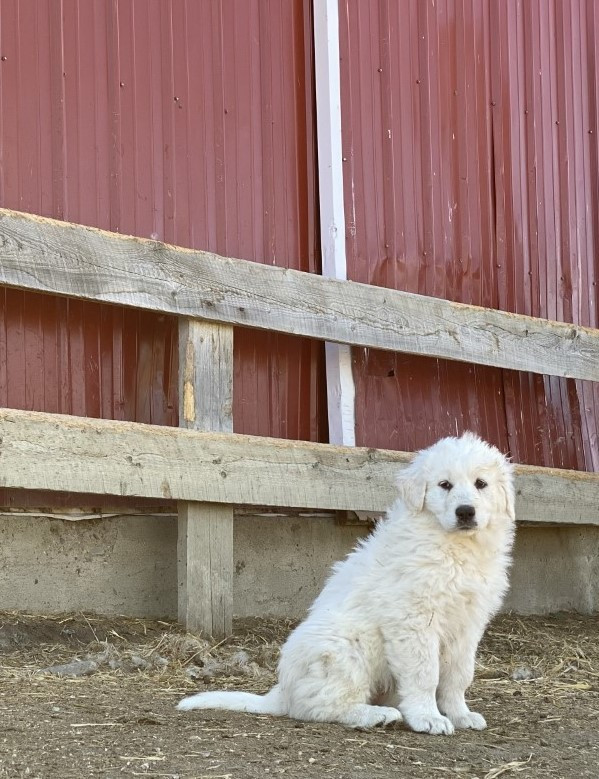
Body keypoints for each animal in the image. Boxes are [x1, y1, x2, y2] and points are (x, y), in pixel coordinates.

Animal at [177, 433, 515, 735]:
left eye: (481, 484)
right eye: (445, 485)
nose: (465, 511)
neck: (456, 548)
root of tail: (282, 690)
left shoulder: (468, 624)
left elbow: (459, 675)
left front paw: (460, 714)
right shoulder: (414, 619)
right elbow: (424, 674)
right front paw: (428, 718)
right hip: (345, 646)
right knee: (319, 706)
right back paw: (376, 715)